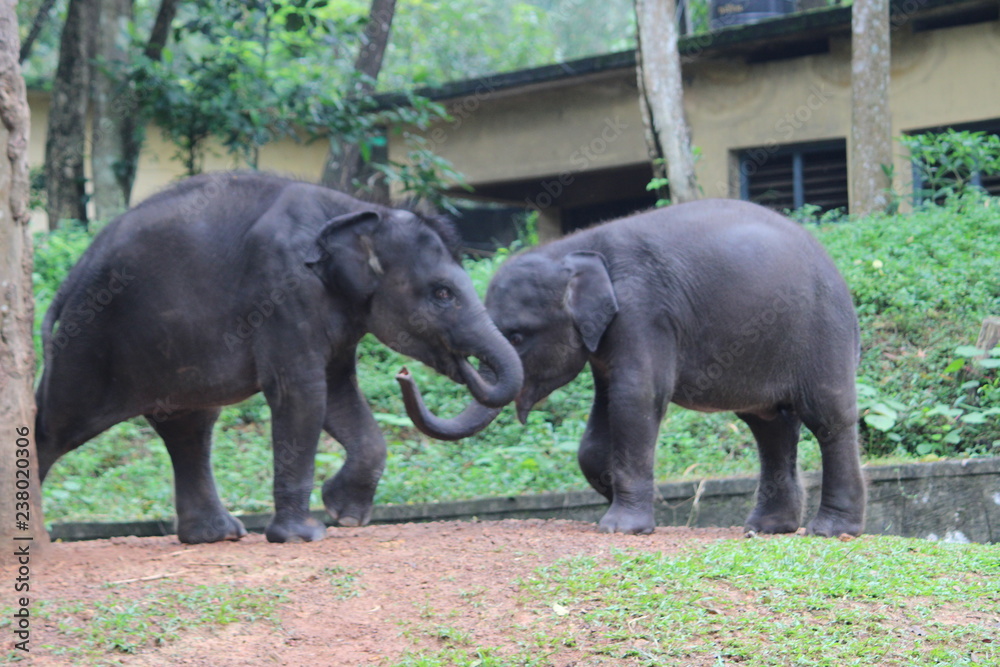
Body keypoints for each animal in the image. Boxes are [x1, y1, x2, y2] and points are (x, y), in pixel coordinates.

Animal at [35, 170, 524, 544]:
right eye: (442, 294)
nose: (406, 376)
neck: (356, 209)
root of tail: (75, 271)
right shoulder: (283, 292)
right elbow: (301, 394)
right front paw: (304, 536)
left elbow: (339, 393)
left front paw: (345, 514)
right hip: (88, 341)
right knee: (56, 421)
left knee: (189, 426)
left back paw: (217, 535)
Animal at [400, 197, 868, 536]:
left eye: (517, 336)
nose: (403, 373)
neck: (574, 247)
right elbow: (604, 413)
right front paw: (609, 493)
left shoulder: (642, 311)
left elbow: (636, 397)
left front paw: (620, 527)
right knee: (769, 426)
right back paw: (766, 528)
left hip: (822, 330)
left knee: (827, 418)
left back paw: (830, 531)